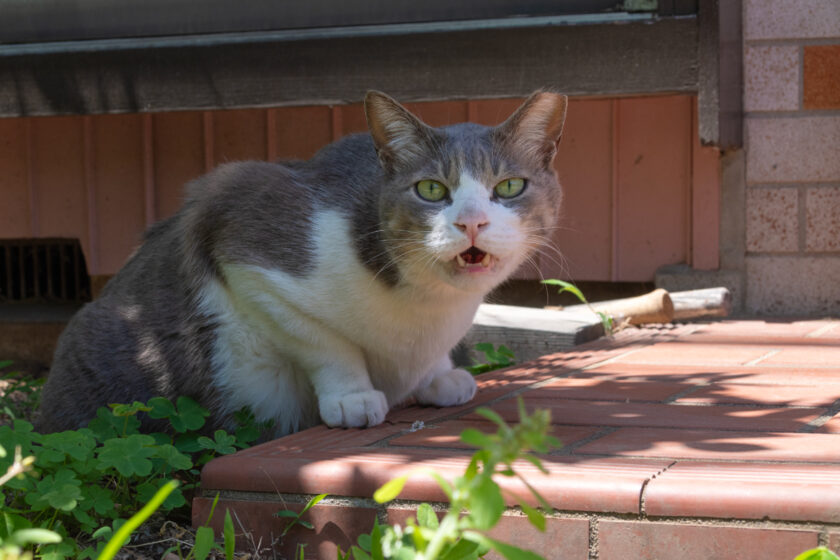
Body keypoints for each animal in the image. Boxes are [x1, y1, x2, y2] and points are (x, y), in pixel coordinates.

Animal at [36, 89, 568, 438]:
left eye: (509, 187)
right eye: (432, 189)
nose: (471, 222)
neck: (426, 306)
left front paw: (440, 376)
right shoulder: (238, 229)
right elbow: (325, 342)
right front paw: (353, 398)